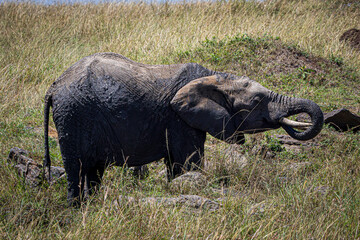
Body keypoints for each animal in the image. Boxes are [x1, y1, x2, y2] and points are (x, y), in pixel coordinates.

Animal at [43, 52, 324, 204]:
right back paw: (76, 209)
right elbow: (190, 162)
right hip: (73, 115)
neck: (215, 76)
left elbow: (175, 165)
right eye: (257, 101)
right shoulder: (178, 118)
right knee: (76, 168)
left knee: (93, 171)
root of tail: (54, 86)